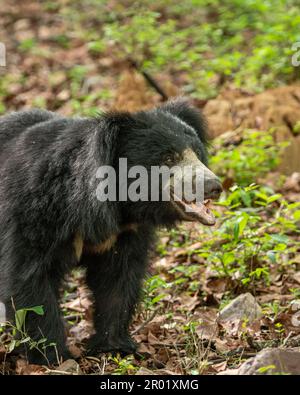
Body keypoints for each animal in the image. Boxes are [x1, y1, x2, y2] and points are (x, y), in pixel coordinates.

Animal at [0, 100, 220, 366]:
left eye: (198, 153)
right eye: (168, 157)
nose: (214, 186)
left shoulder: (123, 235)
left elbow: (117, 281)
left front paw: (113, 347)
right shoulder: (33, 214)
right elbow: (29, 279)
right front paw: (53, 357)